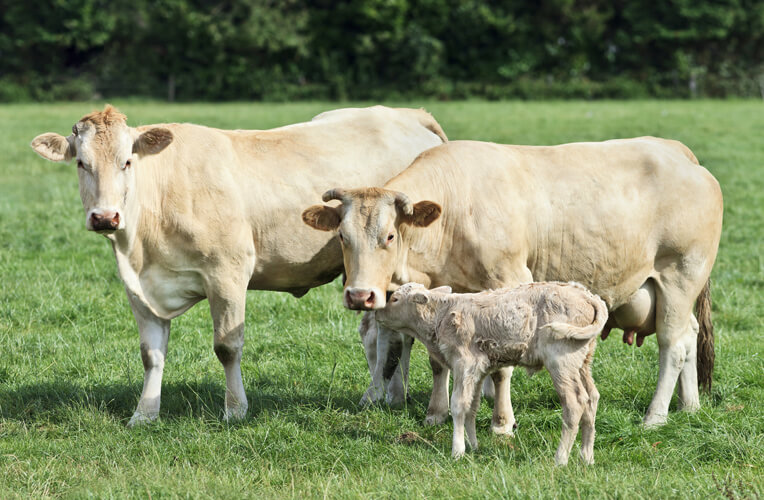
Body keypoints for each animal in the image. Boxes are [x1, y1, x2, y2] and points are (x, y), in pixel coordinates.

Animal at [31, 104, 448, 426]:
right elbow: (151, 354)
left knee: (392, 336)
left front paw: (235, 410)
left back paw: (382, 394)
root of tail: (407, 114)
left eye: (127, 162)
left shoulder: (227, 273)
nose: (105, 217)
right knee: (382, 333)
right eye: (81, 163)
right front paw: (144, 414)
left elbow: (227, 347)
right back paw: (389, 394)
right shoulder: (140, 287)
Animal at [302, 139, 724, 428]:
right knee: (689, 335)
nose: (360, 295)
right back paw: (689, 405)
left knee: (673, 346)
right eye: (342, 236)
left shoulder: (510, 283)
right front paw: (439, 413)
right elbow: (439, 361)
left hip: (680, 276)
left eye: (389, 236)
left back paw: (656, 415)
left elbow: (502, 367)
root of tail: (677, 152)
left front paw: (501, 421)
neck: (455, 212)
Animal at [376, 282, 608, 464]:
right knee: (592, 399)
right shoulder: (479, 368)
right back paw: (586, 458)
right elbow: (472, 407)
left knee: (575, 403)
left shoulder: (464, 363)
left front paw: (457, 451)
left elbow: (458, 405)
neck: (442, 314)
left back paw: (560, 459)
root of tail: (587, 295)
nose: (377, 313)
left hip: (561, 362)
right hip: (583, 362)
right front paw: (473, 446)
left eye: (395, 299)